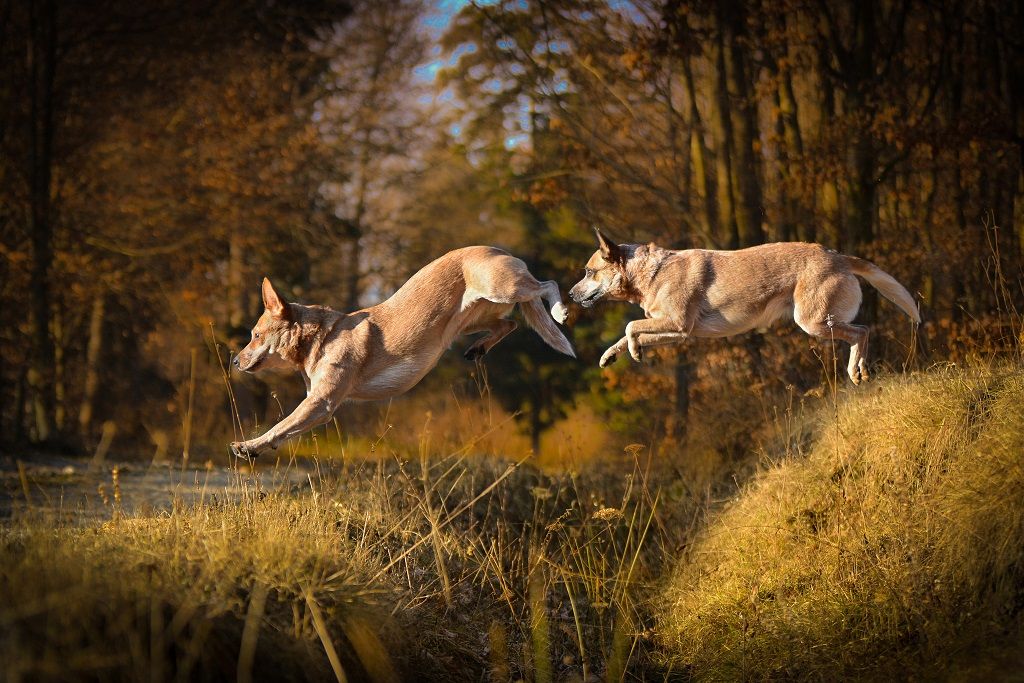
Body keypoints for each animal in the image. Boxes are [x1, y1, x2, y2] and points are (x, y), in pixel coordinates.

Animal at [227, 245, 573, 458]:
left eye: (255, 335)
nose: (234, 360)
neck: (322, 338)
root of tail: (498, 249)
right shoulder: (316, 402)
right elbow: (285, 430)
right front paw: (256, 448)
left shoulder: (321, 403)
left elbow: (279, 425)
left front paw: (248, 444)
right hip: (473, 318)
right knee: (509, 323)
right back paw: (478, 348)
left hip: (502, 288)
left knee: (547, 284)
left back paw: (560, 310)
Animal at [569, 231, 921, 385]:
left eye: (587, 272)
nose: (570, 295)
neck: (649, 273)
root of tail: (838, 256)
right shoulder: (678, 331)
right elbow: (628, 332)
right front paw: (612, 355)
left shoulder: (677, 323)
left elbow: (629, 327)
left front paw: (634, 351)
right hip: (820, 322)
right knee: (862, 332)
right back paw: (860, 370)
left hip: (814, 321)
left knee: (862, 331)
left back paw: (855, 370)